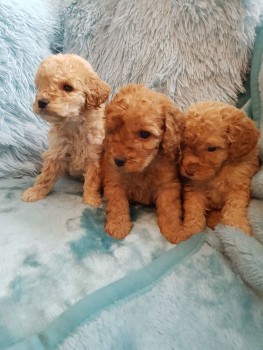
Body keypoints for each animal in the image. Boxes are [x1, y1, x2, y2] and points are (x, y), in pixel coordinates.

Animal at [21, 52, 110, 205]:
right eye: (41, 86)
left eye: (67, 88)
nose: (41, 102)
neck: (74, 123)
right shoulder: (57, 149)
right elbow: (46, 175)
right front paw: (35, 192)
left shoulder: (94, 154)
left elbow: (92, 179)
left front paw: (91, 199)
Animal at [102, 85, 185, 243]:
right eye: (114, 129)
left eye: (145, 134)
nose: (118, 161)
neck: (143, 169)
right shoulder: (115, 180)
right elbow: (117, 203)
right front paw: (118, 225)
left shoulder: (168, 185)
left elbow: (170, 209)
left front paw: (174, 230)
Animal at [178, 101, 260, 241]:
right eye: (184, 144)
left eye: (212, 148)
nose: (188, 171)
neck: (218, 171)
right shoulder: (195, 186)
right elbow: (194, 208)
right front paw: (191, 231)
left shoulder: (238, 185)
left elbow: (235, 207)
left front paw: (237, 228)